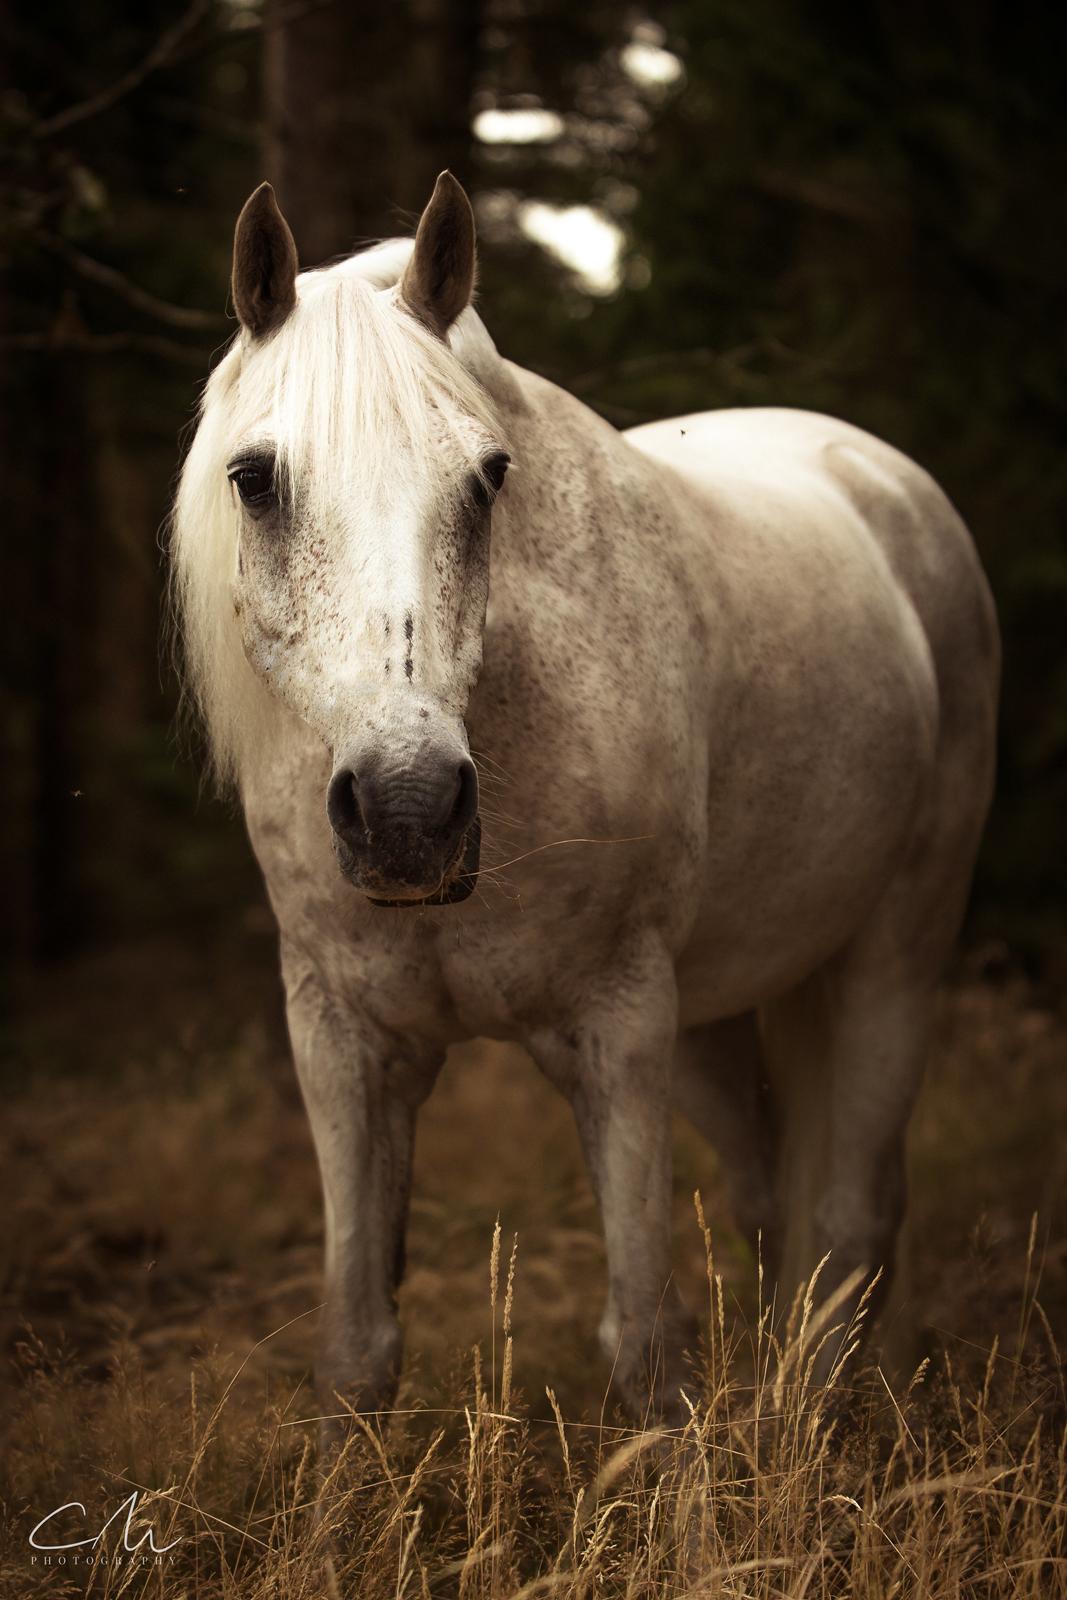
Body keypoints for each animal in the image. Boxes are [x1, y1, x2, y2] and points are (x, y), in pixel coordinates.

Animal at [173, 175, 1004, 1427]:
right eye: (254, 478)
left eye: (486, 477)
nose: (410, 812)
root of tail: (883, 481)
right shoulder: (343, 1040)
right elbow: (357, 1347)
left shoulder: (617, 1029)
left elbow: (643, 1350)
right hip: (718, 1014)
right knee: (777, 1207)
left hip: (890, 951)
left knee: (850, 1219)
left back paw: (810, 1426)